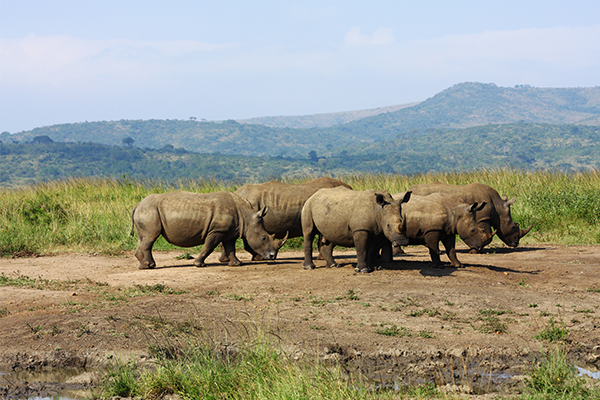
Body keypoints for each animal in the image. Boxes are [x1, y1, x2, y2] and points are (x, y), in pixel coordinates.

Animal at [131, 191, 284, 268]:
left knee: (143, 238)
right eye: (264, 238)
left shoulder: (229, 232)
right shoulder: (217, 230)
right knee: (151, 237)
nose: (272, 256)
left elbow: (231, 248)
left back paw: (145, 266)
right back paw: (149, 266)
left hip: (146, 211)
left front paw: (236, 264)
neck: (246, 216)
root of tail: (137, 204)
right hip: (149, 211)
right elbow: (209, 246)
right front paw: (199, 264)